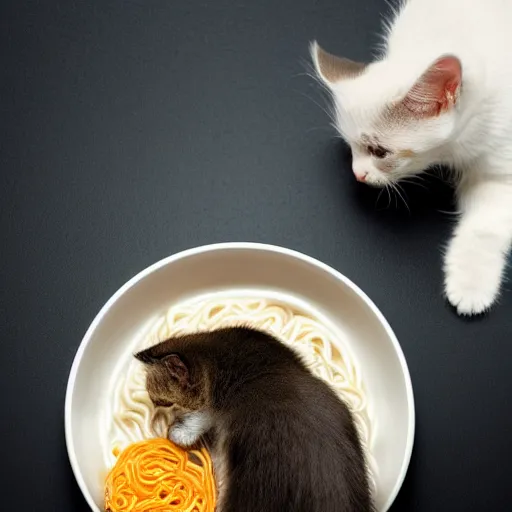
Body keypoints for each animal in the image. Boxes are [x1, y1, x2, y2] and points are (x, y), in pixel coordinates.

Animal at [312, 0, 512, 316]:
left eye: (379, 151)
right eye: (350, 148)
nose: (358, 174)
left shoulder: (501, 160)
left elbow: (485, 227)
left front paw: (470, 286)